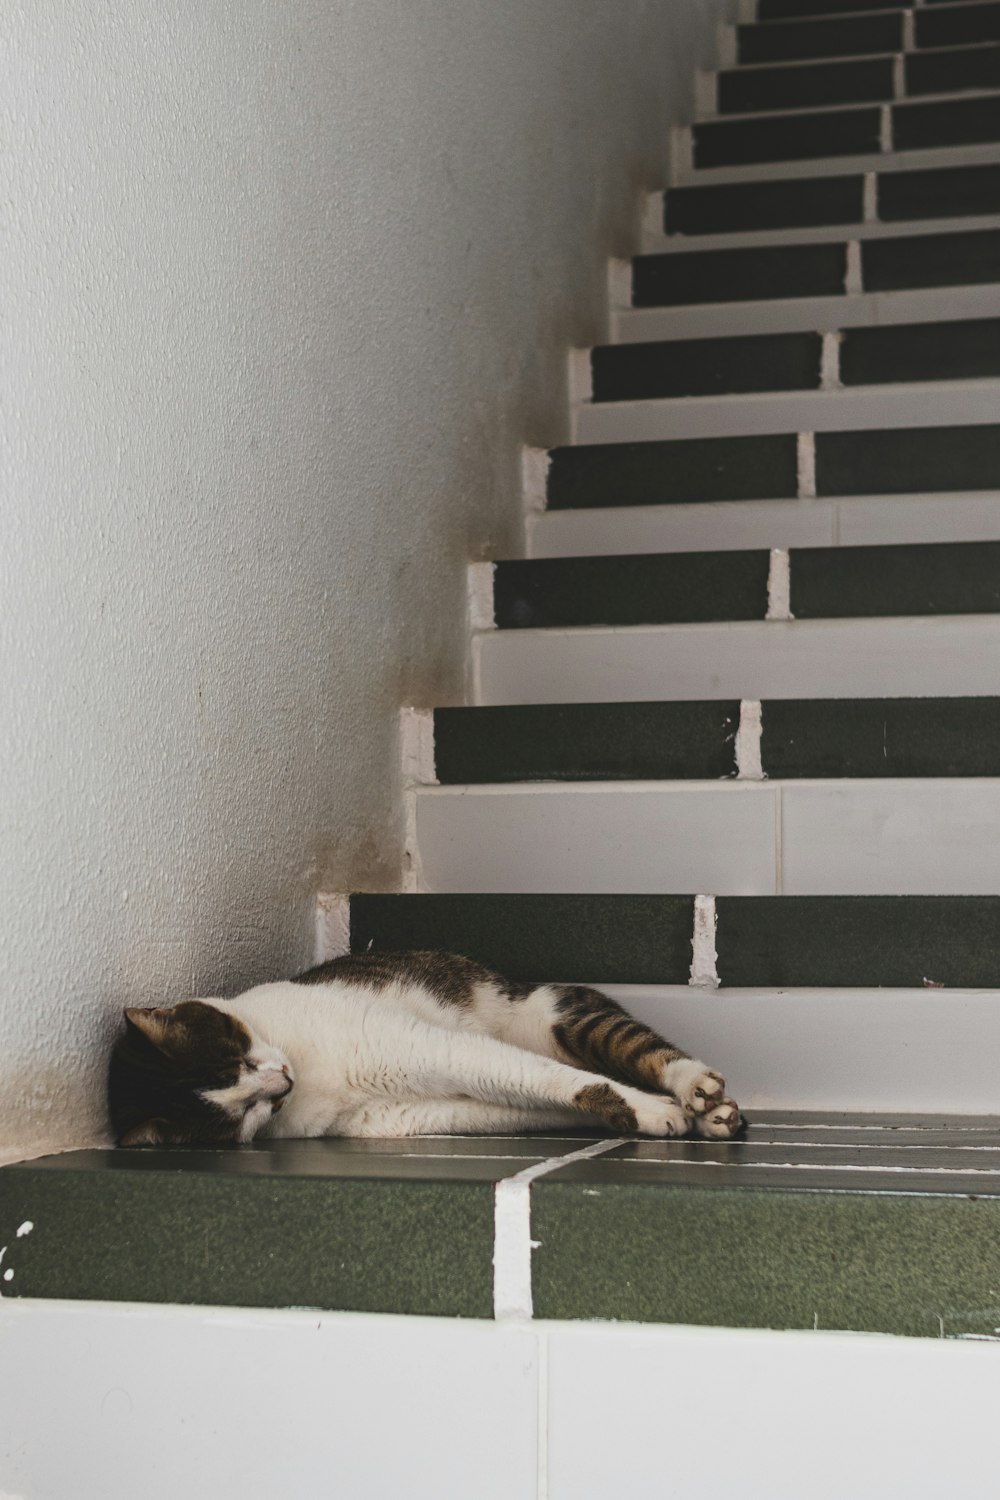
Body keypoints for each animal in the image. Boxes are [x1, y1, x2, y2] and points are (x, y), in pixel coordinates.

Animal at [107, 948, 743, 1146]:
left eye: (239, 1054)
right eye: (242, 1111)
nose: (281, 1084)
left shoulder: (425, 1045)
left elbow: (563, 1080)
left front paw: (657, 1109)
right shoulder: (406, 1113)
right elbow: (534, 1101)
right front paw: (646, 1116)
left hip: (564, 1016)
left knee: (637, 1047)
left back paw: (698, 1092)